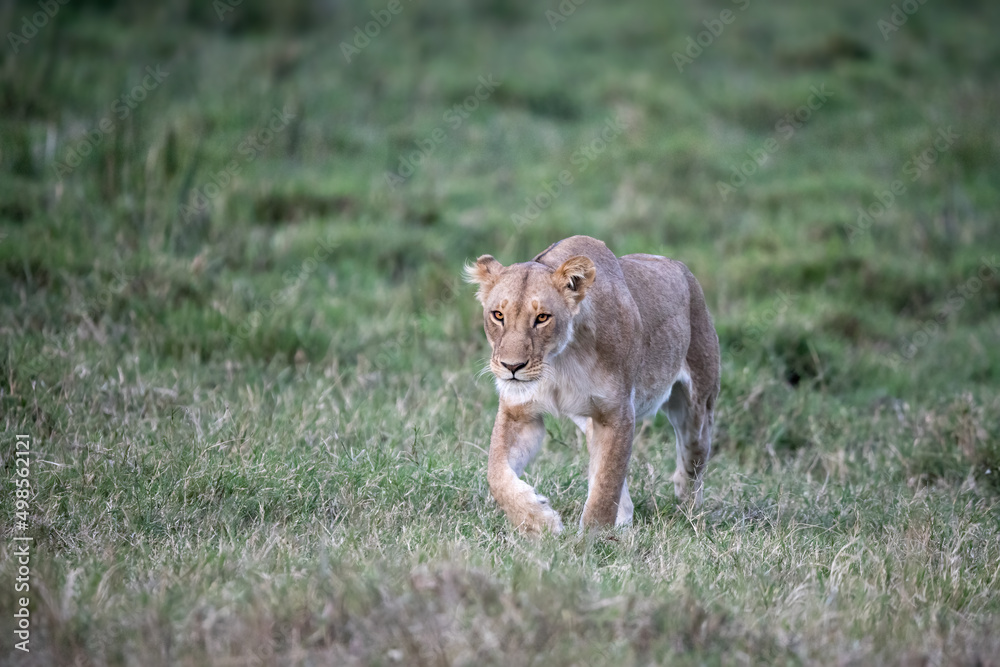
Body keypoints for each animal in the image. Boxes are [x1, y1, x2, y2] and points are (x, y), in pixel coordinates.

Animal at [465, 235, 720, 535]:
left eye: (542, 318)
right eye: (497, 315)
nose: (512, 367)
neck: (559, 361)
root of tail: (682, 269)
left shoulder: (617, 413)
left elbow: (606, 485)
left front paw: (592, 539)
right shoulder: (518, 413)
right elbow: (496, 475)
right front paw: (540, 522)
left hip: (697, 405)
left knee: (693, 456)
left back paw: (688, 508)